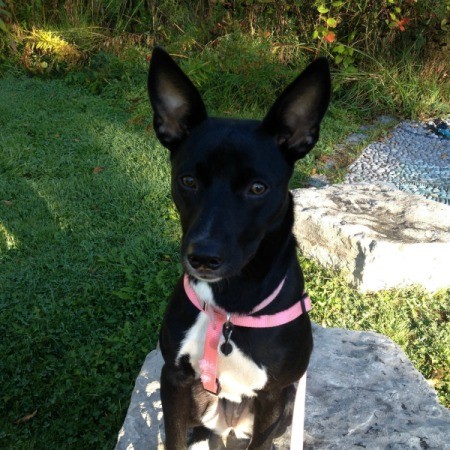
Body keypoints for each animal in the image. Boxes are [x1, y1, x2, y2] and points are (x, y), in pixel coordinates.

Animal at [148, 47, 330, 448]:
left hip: (287, 405)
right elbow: (173, 438)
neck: (228, 308)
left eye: (257, 188)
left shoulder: (274, 396)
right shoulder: (173, 380)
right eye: (188, 180)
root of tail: (227, 426)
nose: (203, 258)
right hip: (199, 405)